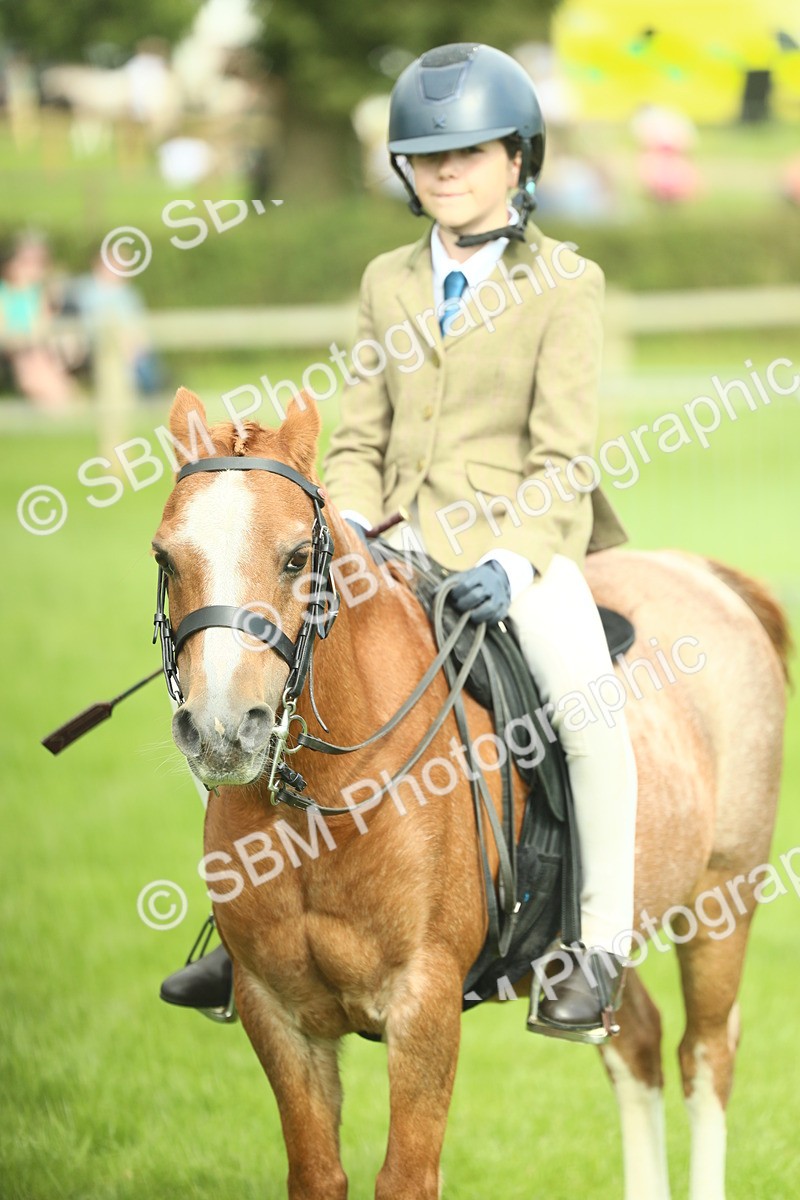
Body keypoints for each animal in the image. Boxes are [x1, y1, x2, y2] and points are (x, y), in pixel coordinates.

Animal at [152, 386, 789, 1200]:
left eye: (297, 557)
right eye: (166, 557)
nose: (223, 730)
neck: (318, 807)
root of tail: (702, 574)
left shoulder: (423, 1005)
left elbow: (406, 1176)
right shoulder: (278, 1012)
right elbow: (318, 1175)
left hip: (722, 902)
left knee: (706, 1057)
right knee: (635, 1042)